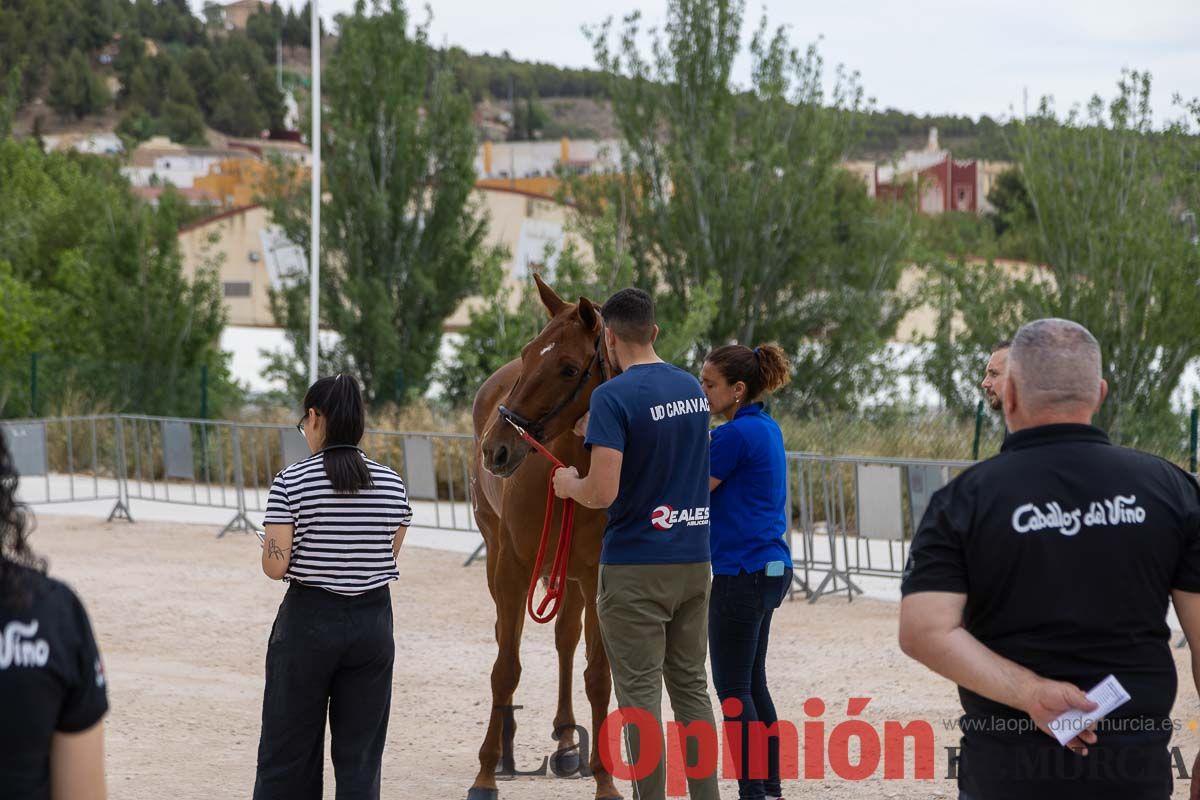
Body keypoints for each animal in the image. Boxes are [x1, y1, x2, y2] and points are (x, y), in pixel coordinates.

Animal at [465, 277, 624, 800]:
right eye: (528, 353)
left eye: (569, 367)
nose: (496, 447)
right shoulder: (514, 567)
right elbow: (505, 667)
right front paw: (485, 773)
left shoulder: (595, 575)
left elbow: (597, 675)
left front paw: (605, 779)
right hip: (498, 556)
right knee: (506, 636)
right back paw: (508, 747)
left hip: (568, 575)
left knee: (565, 639)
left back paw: (568, 741)